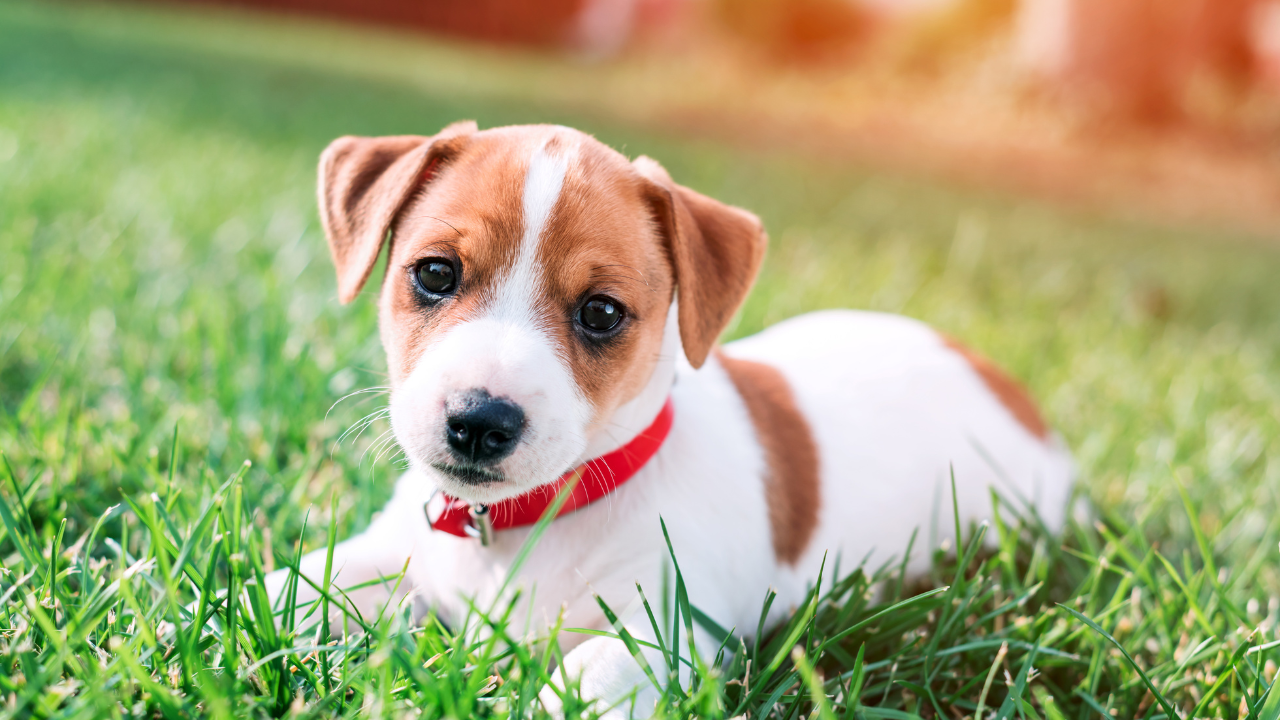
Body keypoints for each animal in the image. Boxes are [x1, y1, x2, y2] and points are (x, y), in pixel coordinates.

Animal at [264, 119, 1075, 712]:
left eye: (601, 313)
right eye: (435, 273)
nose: (478, 421)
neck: (529, 522)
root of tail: (1000, 380)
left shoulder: (670, 625)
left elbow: (589, 676)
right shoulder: (390, 552)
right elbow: (292, 585)